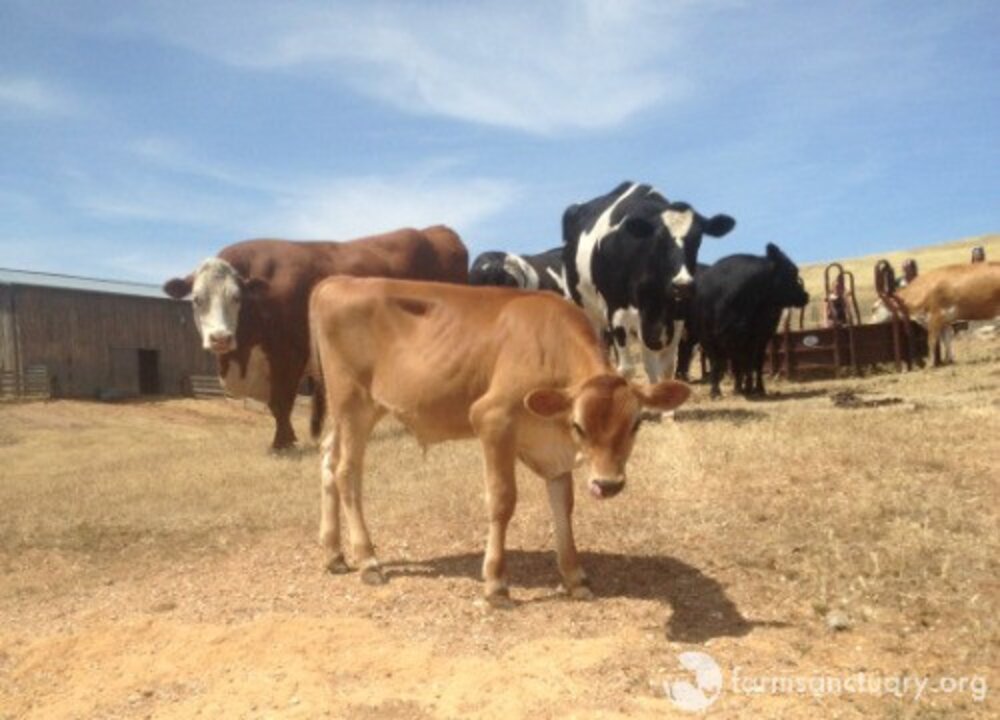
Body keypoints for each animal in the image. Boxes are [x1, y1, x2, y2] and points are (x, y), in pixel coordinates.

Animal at [163, 227, 469, 450]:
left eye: (237, 298)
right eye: (197, 300)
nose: (220, 338)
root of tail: (439, 232)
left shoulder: (289, 354)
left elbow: (280, 402)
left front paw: (282, 442)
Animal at [309, 278, 690, 604]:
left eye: (636, 423)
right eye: (579, 426)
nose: (608, 484)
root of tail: (336, 281)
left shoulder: (553, 451)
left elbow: (563, 505)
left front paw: (574, 577)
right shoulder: (492, 420)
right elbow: (502, 500)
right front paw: (496, 583)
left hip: (355, 411)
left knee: (327, 459)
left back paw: (333, 553)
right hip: (352, 403)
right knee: (347, 473)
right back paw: (368, 560)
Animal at [561, 181, 735, 383]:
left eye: (698, 239)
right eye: (659, 238)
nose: (682, 285)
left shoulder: (675, 316)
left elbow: (665, 367)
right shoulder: (617, 312)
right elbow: (627, 369)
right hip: (588, 310)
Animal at [691, 244, 810, 398]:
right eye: (792, 272)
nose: (805, 295)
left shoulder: (753, 338)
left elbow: (747, 364)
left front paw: (748, 388)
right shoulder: (708, 338)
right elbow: (718, 364)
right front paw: (715, 392)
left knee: (755, 364)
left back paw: (757, 388)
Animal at [871, 262, 1000, 365]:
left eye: (874, 308)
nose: (871, 322)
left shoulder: (935, 317)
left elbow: (931, 340)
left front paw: (931, 364)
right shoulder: (946, 320)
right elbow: (946, 339)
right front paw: (949, 360)